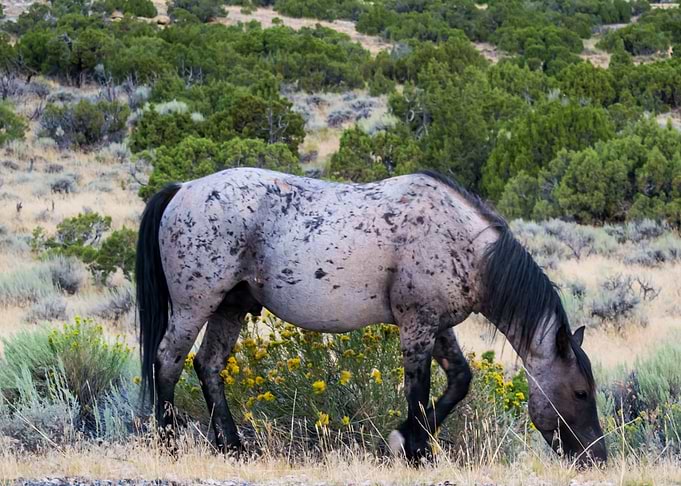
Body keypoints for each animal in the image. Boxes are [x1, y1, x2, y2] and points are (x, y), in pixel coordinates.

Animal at [135, 168, 607, 464]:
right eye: (581, 392)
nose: (597, 457)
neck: (465, 244)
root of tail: (184, 188)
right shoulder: (417, 326)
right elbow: (418, 389)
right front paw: (412, 449)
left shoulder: (438, 326)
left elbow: (459, 382)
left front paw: (410, 443)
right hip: (195, 305)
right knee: (168, 362)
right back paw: (168, 444)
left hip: (230, 308)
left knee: (208, 366)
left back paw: (232, 448)